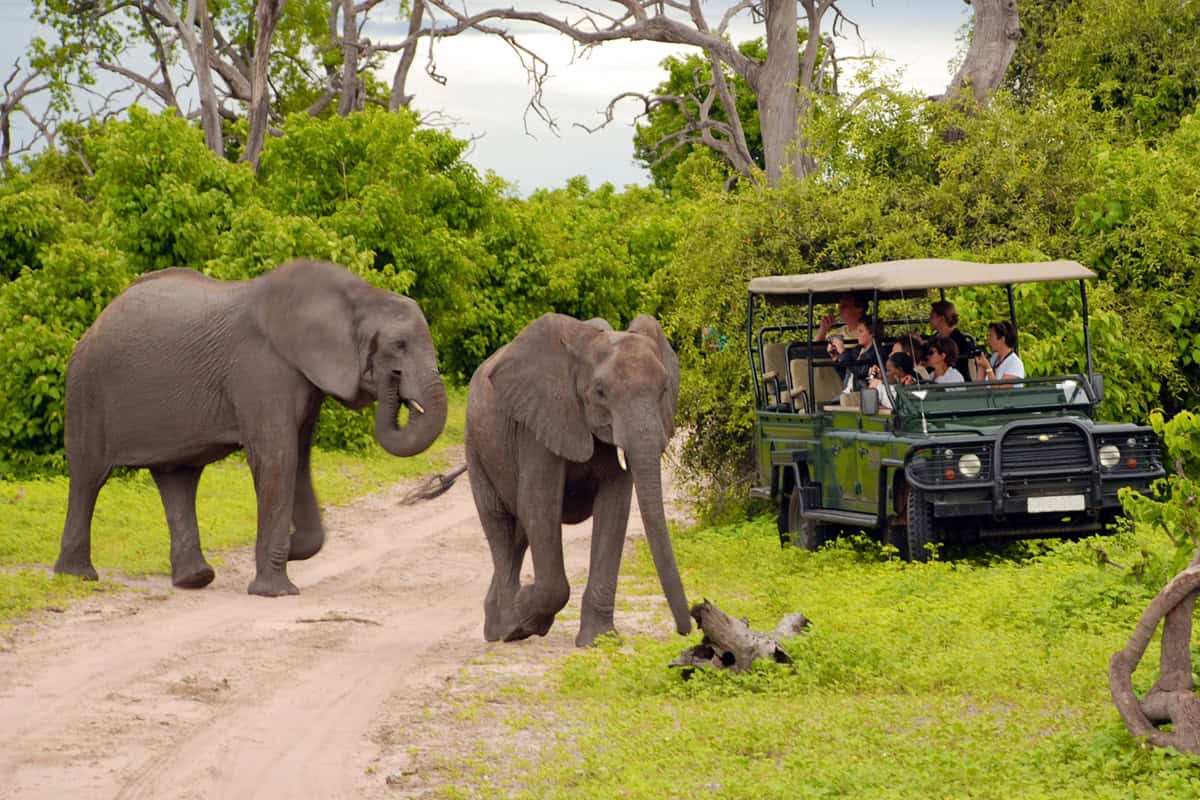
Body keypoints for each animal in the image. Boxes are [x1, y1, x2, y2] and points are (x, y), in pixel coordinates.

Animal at [54, 260, 448, 597]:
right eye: (398, 347)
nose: (393, 382)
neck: (357, 294)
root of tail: (94, 324)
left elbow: (299, 459)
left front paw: (291, 551)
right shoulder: (261, 367)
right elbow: (278, 458)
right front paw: (276, 590)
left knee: (177, 478)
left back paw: (195, 579)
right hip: (86, 391)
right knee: (89, 476)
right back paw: (78, 576)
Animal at [463, 311, 696, 652]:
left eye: (664, 389)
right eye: (599, 392)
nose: (687, 628)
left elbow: (615, 510)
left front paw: (597, 641)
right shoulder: (538, 422)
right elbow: (539, 504)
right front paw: (526, 615)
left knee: (519, 532)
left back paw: (498, 623)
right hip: (476, 446)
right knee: (500, 524)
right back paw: (507, 628)